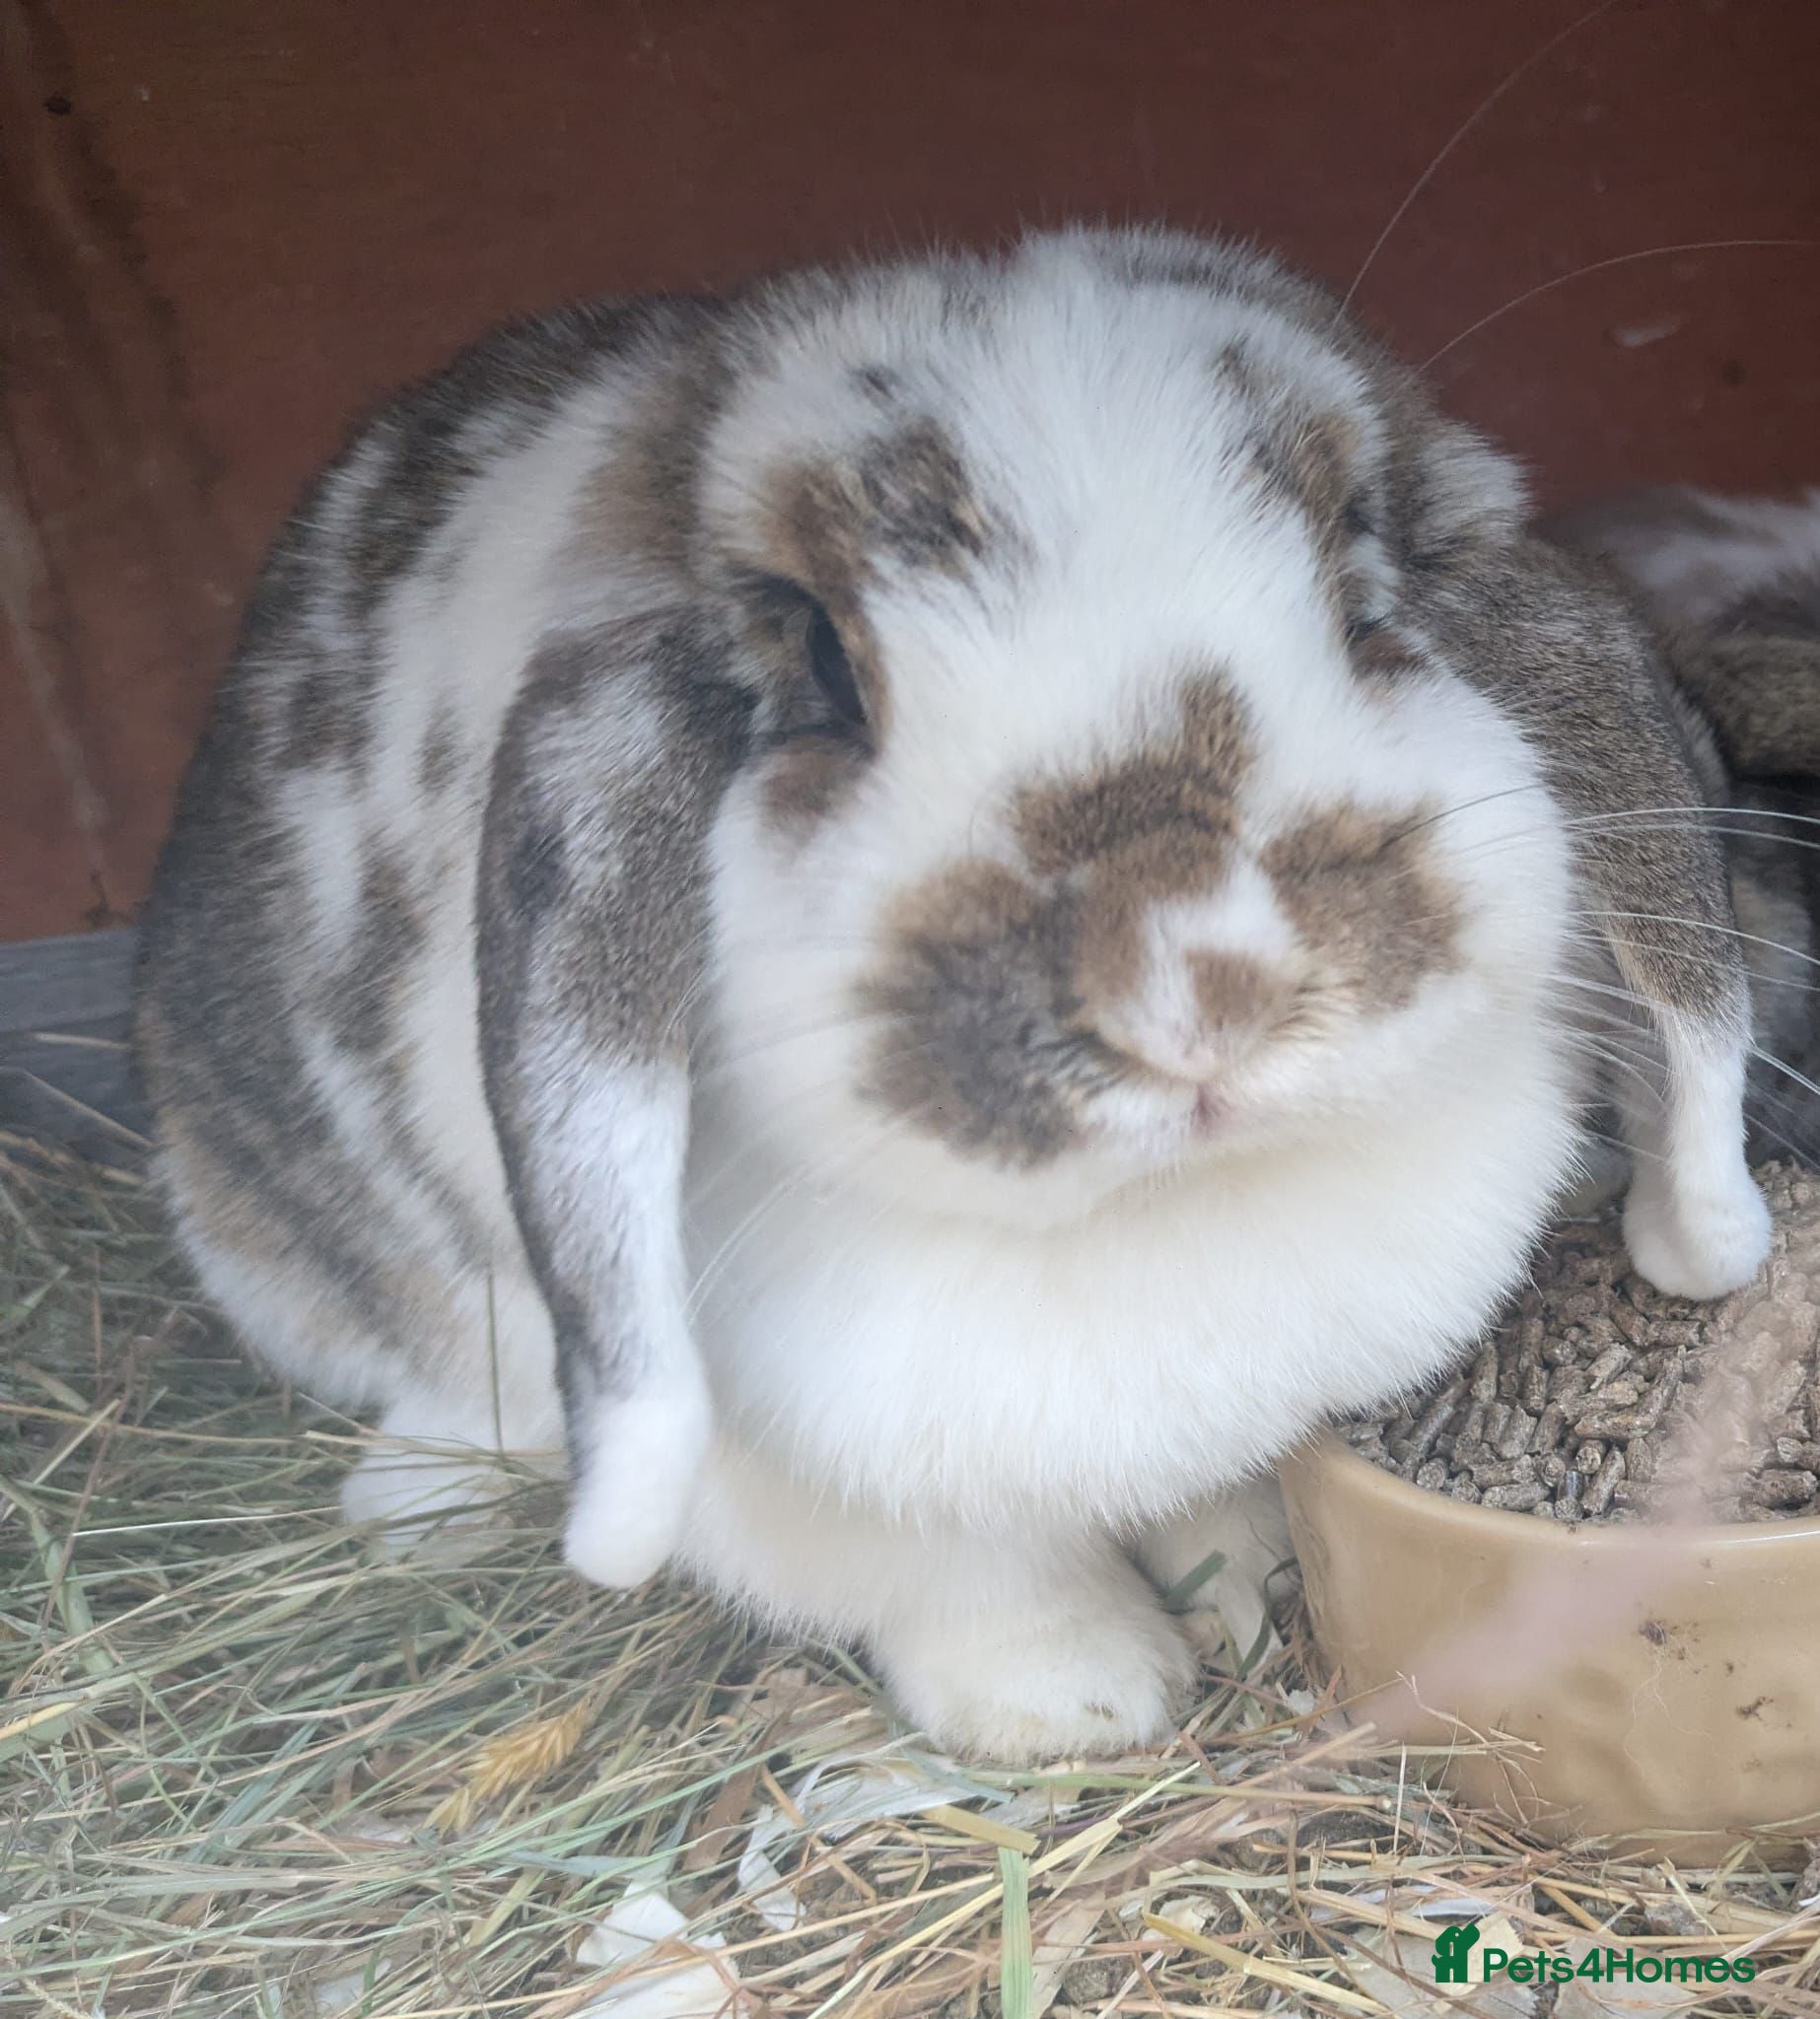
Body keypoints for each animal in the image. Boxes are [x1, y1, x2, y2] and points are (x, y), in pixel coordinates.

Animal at [135, 227, 1771, 1763]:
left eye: (1364, 593)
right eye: (817, 659)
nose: (1197, 989)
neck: (1157, 1219)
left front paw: (1243, 1584)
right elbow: (961, 1579)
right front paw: (1082, 1695)